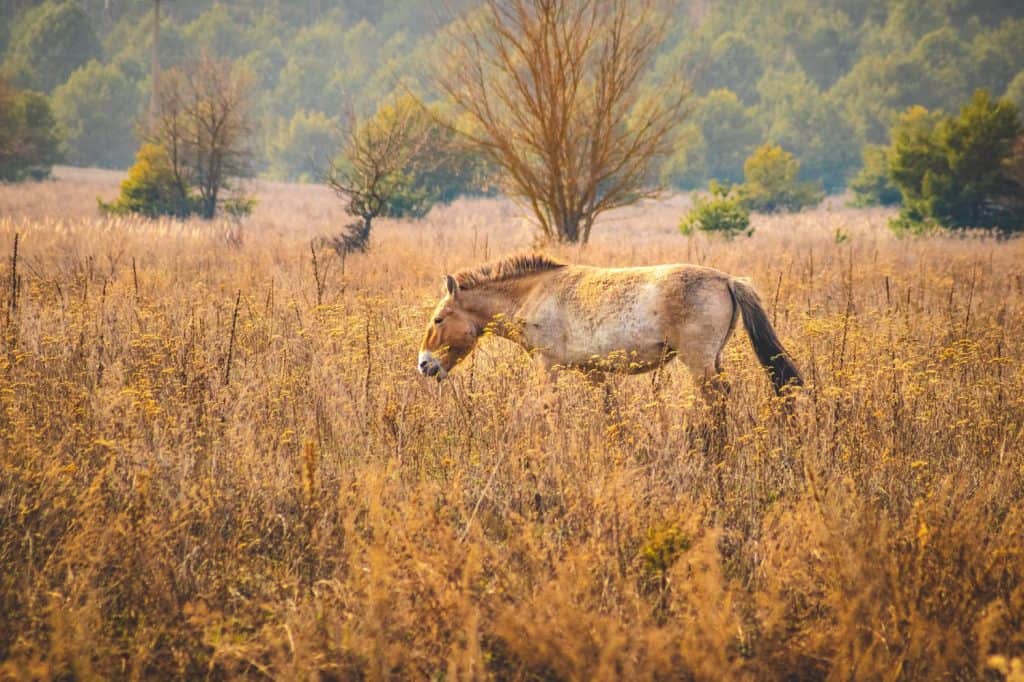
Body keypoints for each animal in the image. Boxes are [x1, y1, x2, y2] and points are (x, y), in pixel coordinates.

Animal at [417, 254, 802, 402]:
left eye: (439, 319)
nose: (423, 364)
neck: (533, 293)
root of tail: (727, 280)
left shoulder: (546, 366)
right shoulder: (594, 372)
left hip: (699, 363)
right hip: (713, 360)